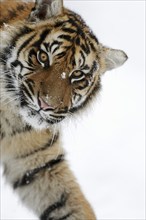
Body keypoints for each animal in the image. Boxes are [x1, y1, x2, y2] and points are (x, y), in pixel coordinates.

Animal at [0, 0, 128, 219]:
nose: (46, 104)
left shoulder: (37, 163)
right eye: (43, 57)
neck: (12, 120)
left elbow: (69, 202)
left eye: (77, 75)